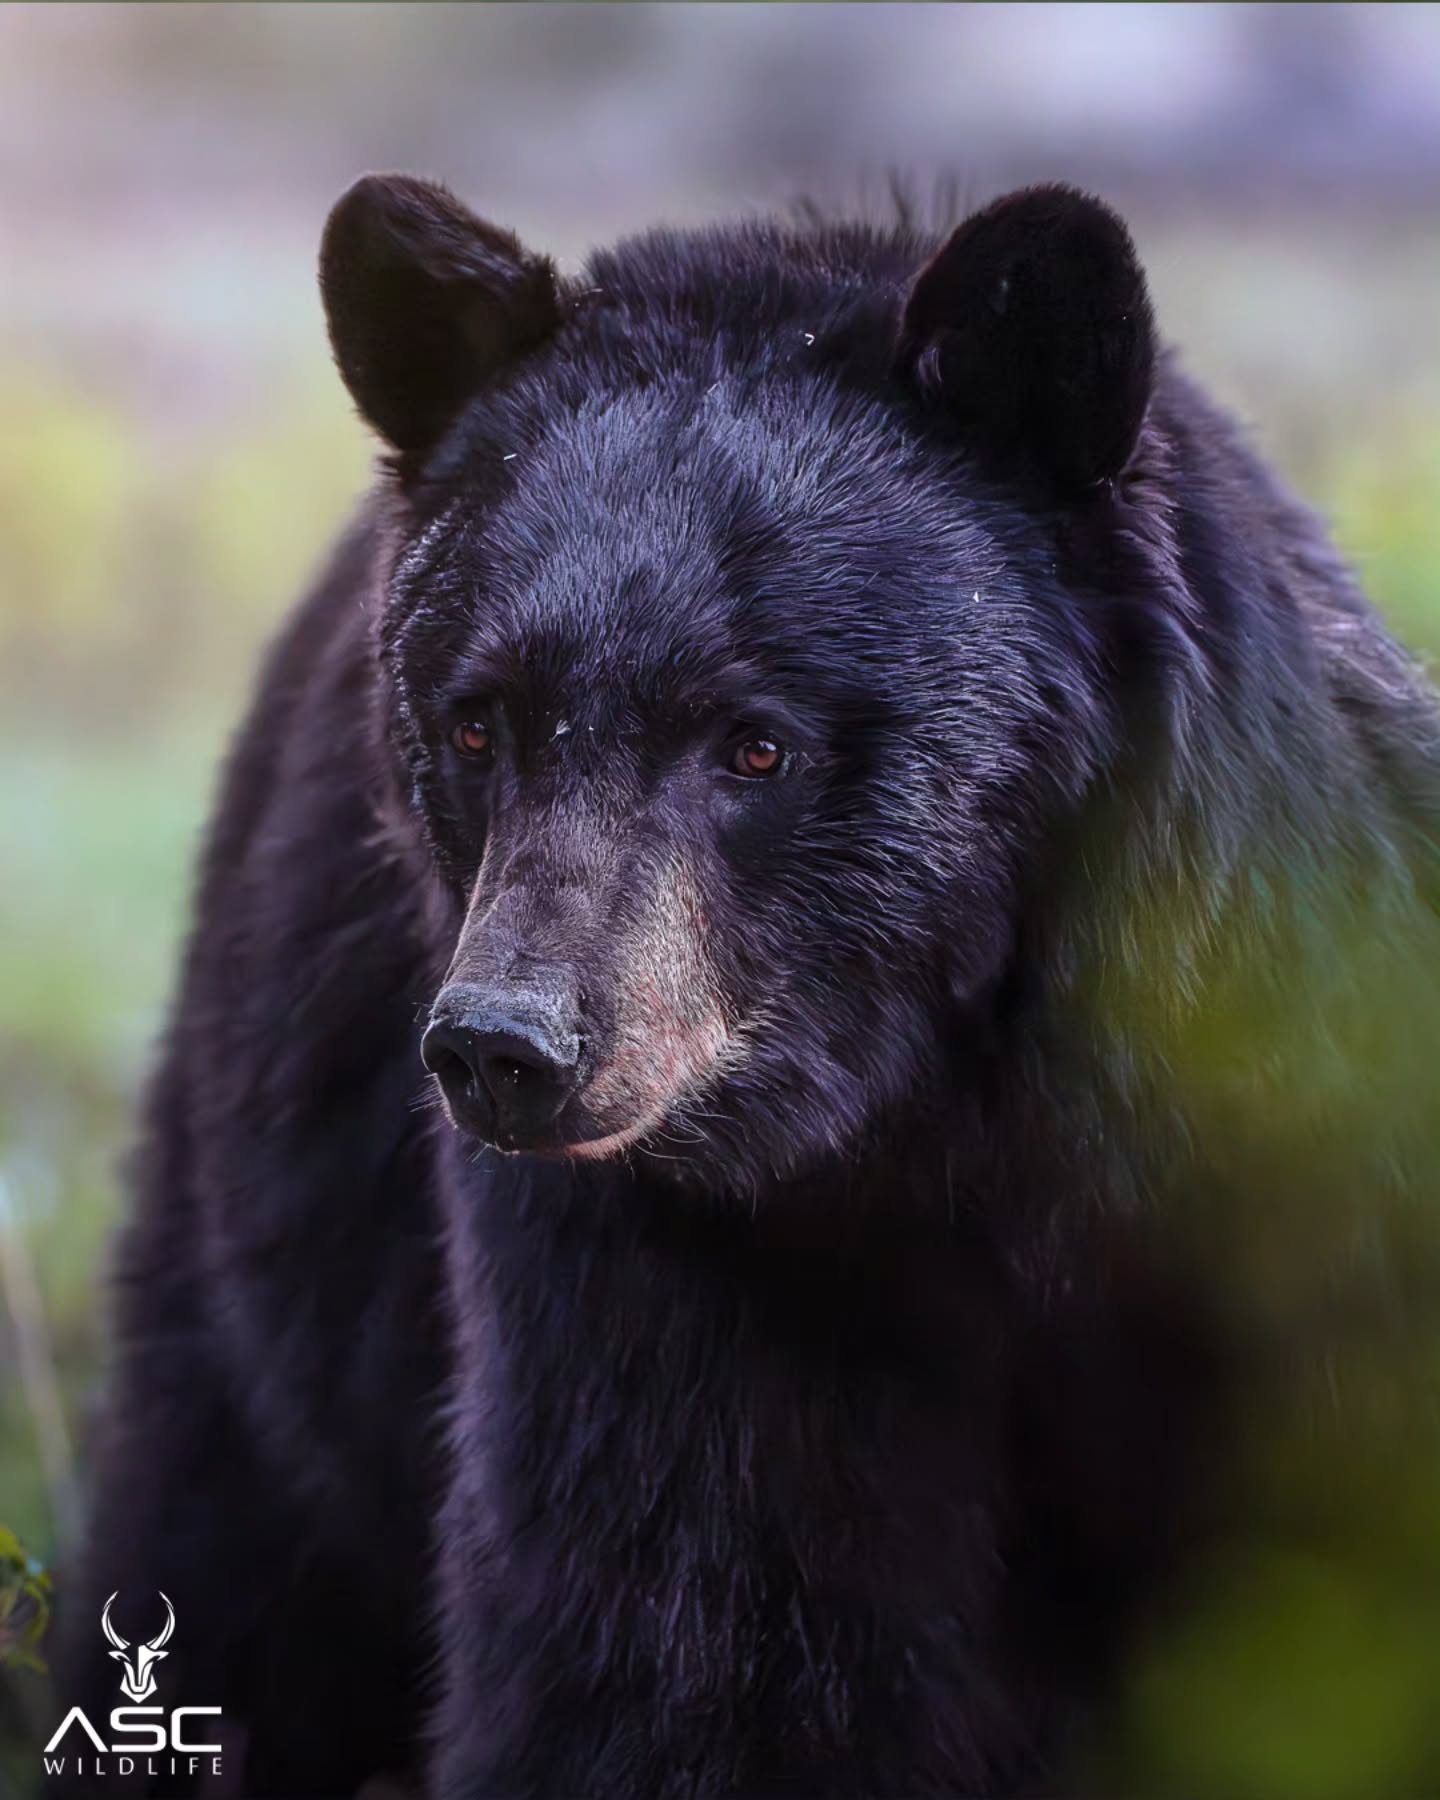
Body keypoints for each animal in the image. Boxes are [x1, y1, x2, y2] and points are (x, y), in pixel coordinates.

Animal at [58, 172, 1440, 1800]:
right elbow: (689, 1644)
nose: (507, 1046)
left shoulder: (1311, 1165)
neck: (947, 1129)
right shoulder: (666, 1275)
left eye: (755, 742)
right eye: (478, 723)